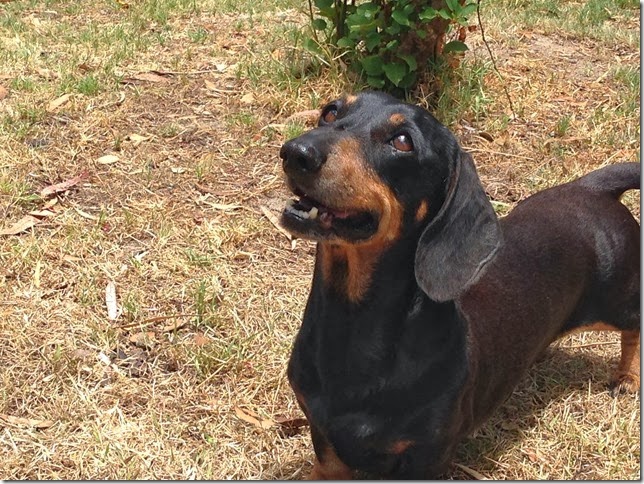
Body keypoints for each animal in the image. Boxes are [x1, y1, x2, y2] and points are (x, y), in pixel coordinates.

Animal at [278, 91, 640, 479]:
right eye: (331, 112)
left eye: (402, 141)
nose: (296, 152)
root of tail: (591, 188)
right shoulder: (323, 438)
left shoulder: (426, 456)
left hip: (616, 302)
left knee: (633, 327)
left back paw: (628, 378)